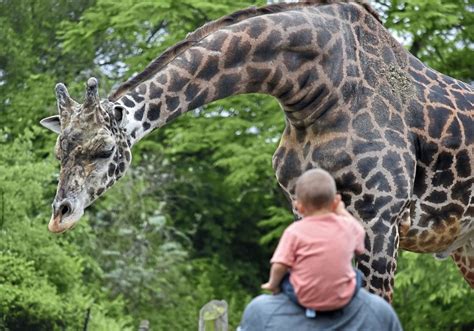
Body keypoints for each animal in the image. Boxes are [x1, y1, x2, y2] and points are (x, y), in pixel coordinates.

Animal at [41, 0, 474, 300]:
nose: (60, 215)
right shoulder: (306, 213)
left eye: (103, 151)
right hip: (464, 248)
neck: (316, 92)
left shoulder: (381, 219)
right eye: (59, 153)